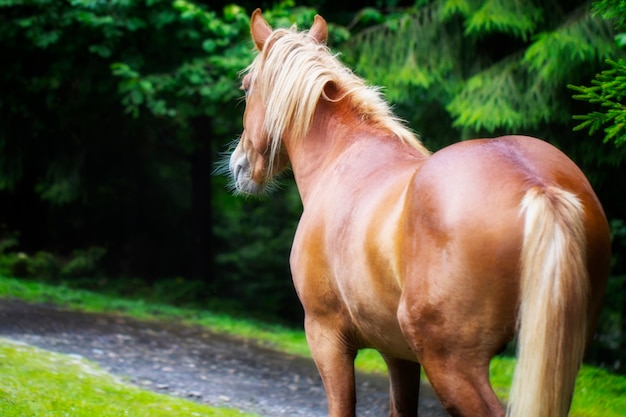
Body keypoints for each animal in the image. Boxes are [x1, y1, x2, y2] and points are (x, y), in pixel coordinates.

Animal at [227, 9, 608, 416]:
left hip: (452, 362)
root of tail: (536, 183)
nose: (239, 165)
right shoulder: (399, 353)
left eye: (246, 87)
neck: (344, 157)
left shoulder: (326, 336)